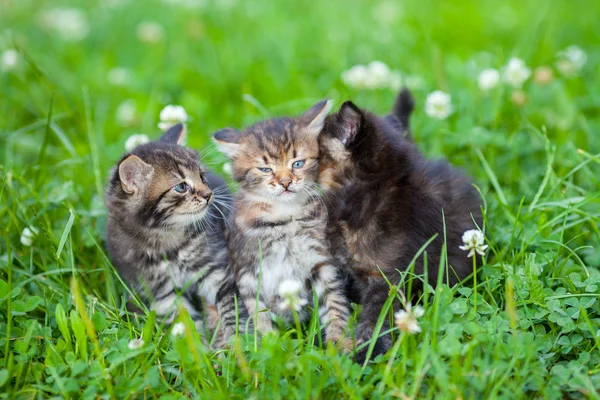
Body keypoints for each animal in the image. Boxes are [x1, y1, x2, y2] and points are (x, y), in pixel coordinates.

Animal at [213, 101, 352, 348]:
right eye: (265, 169)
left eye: (298, 163)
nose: (286, 182)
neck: (284, 218)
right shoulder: (247, 274)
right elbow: (258, 317)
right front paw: (267, 347)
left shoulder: (321, 261)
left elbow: (335, 303)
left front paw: (341, 342)